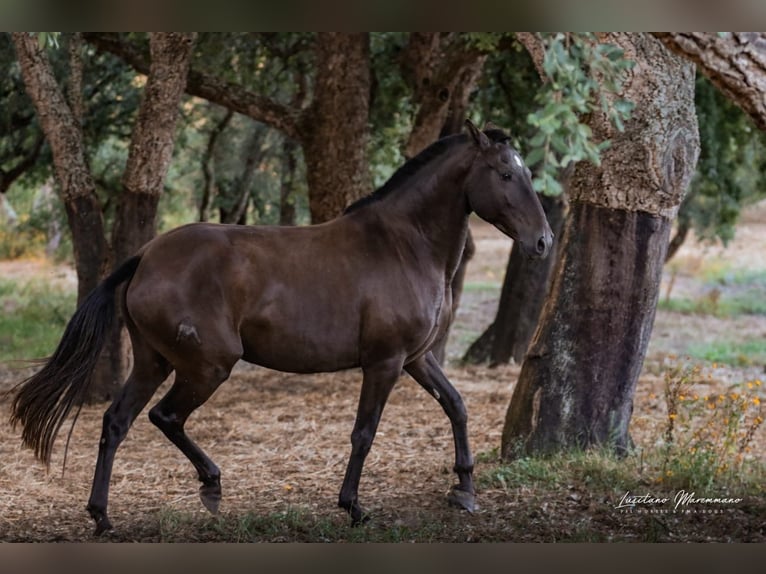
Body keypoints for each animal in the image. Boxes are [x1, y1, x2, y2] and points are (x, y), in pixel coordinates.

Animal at [9, 119, 556, 536]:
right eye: (505, 173)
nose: (544, 242)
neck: (404, 245)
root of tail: (145, 256)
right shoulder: (384, 363)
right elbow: (364, 432)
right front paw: (353, 507)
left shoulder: (418, 359)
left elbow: (457, 407)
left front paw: (464, 490)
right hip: (207, 366)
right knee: (165, 417)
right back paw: (210, 487)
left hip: (153, 360)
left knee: (117, 422)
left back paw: (104, 517)